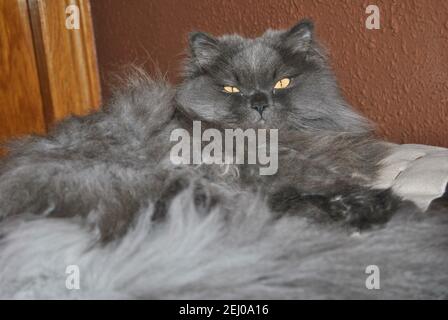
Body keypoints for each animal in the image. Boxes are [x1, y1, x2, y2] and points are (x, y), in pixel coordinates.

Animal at [0, 20, 448, 300]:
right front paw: (378, 205)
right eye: (232, 88)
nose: (260, 102)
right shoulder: (260, 182)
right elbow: (310, 195)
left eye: (282, 82)